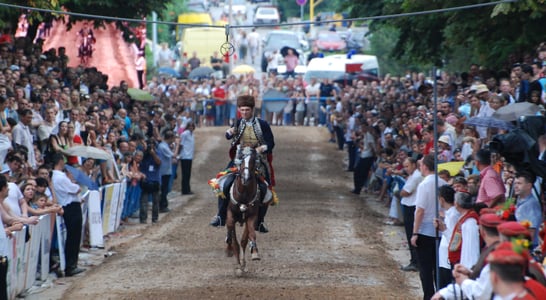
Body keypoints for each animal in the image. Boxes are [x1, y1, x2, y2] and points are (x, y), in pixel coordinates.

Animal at [224, 145, 260, 274]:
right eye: (241, 158)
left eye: (253, 160)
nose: (245, 178)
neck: (244, 194)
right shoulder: (230, 215)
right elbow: (232, 236)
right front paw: (230, 251)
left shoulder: (252, 216)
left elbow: (250, 235)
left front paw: (254, 254)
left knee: (245, 239)